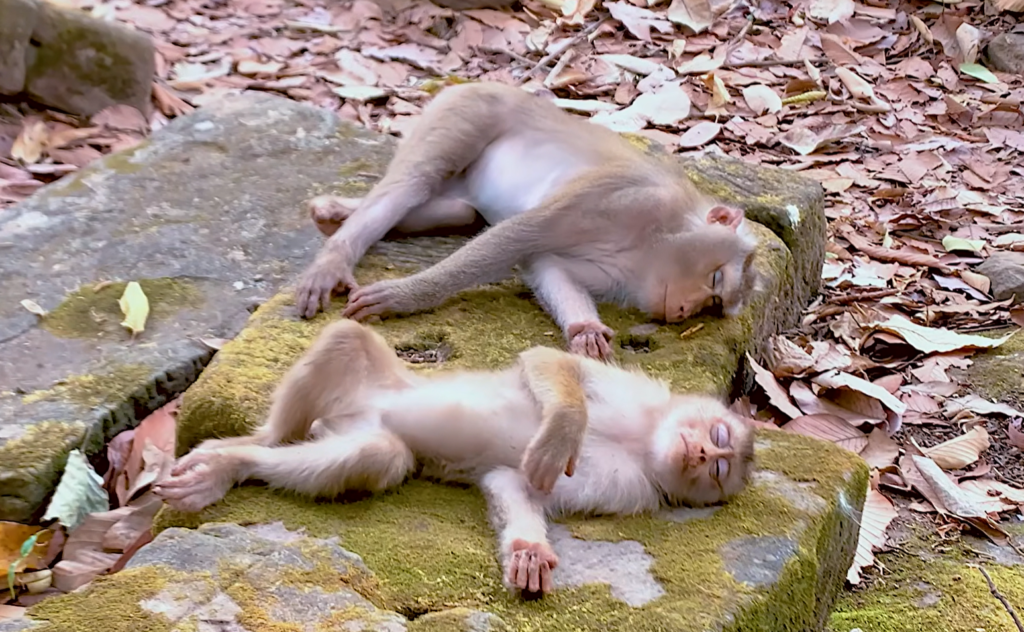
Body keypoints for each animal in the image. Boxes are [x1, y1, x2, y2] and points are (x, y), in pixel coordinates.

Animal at [155, 320, 755, 598]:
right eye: (718, 432)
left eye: (719, 470)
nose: (702, 451)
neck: (643, 442)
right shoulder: (636, 393)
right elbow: (550, 363)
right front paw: (563, 428)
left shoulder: (631, 489)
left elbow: (517, 486)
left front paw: (528, 552)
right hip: (374, 381)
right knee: (346, 340)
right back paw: (239, 451)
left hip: (364, 431)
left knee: (378, 454)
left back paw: (241, 462)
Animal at [294, 81, 761, 362]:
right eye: (716, 281)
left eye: (713, 306)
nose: (684, 312)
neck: (654, 243)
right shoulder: (629, 198)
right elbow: (522, 235)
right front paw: (405, 297)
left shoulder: (625, 277)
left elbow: (545, 263)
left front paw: (585, 329)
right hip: (467, 110)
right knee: (412, 182)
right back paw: (336, 253)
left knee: (458, 208)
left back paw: (337, 212)